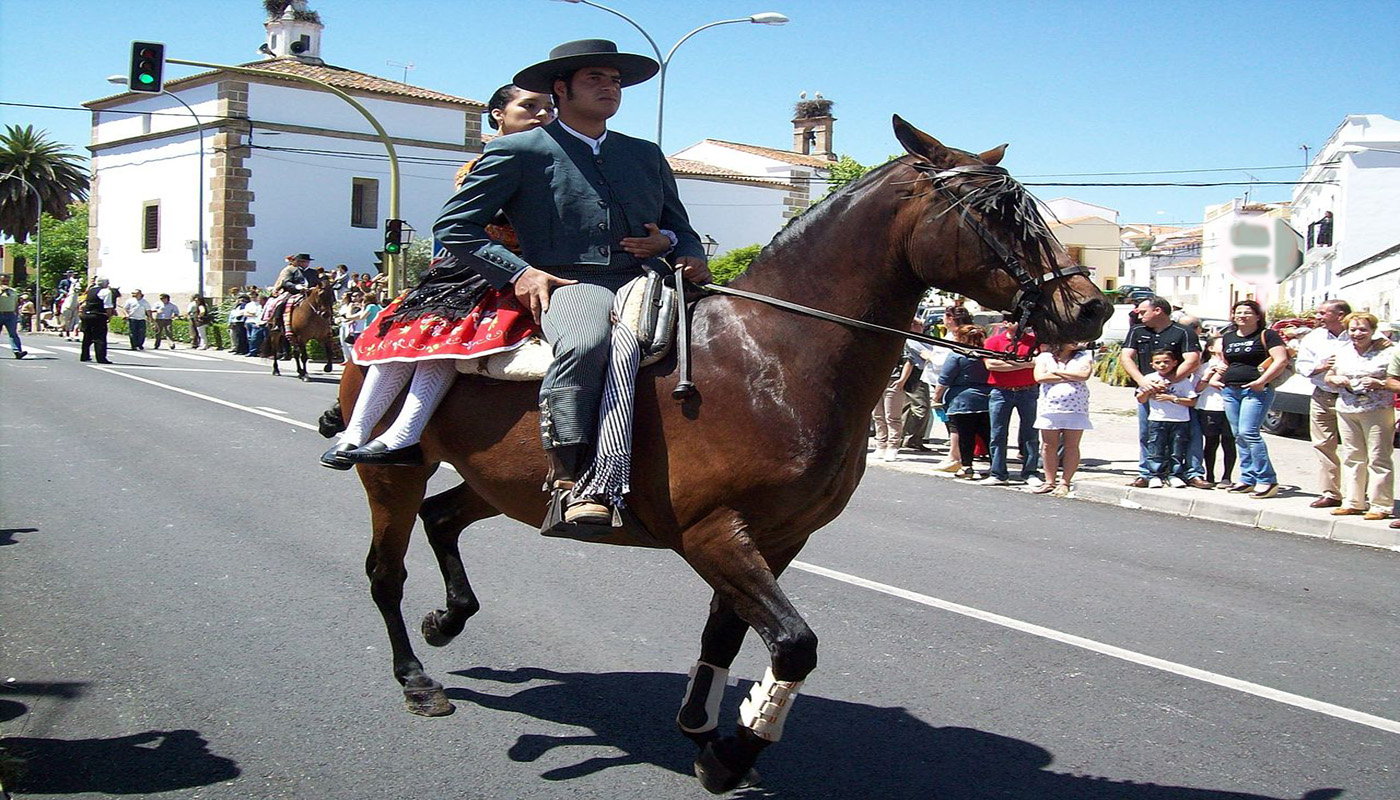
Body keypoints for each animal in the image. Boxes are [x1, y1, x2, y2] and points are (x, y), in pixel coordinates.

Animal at [341, 117, 1114, 795]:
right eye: (991, 210)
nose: (1091, 310)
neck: (773, 353)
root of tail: (392, 311)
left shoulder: (777, 537)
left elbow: (729, 633)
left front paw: (705, 731)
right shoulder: (712, 531)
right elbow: (794, 643)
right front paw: (735, 749)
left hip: (501, 483)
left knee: (444, 520)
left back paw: (449, 621)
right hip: (393, 468)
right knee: (385, 572)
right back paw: (417, 680)